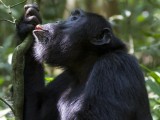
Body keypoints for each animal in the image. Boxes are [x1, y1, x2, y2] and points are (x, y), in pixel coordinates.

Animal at [16, 3, 152, 120]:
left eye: (74, 18)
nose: (59, 21)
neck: (85, 65)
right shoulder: (65, 78)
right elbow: (34, 112)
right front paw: (27, 22)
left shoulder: (115, 66)